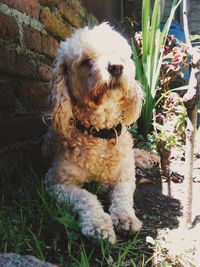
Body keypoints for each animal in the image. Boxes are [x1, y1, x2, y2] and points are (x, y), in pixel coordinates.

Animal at [43, 23, 145, 245]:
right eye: (85, 62)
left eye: (120, 56)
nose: (116, 67)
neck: (101, 134)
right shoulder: (56, 183)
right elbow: (87, 197)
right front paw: (100, 225)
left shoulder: (125, 177)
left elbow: (123, 197)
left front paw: (126, 217)